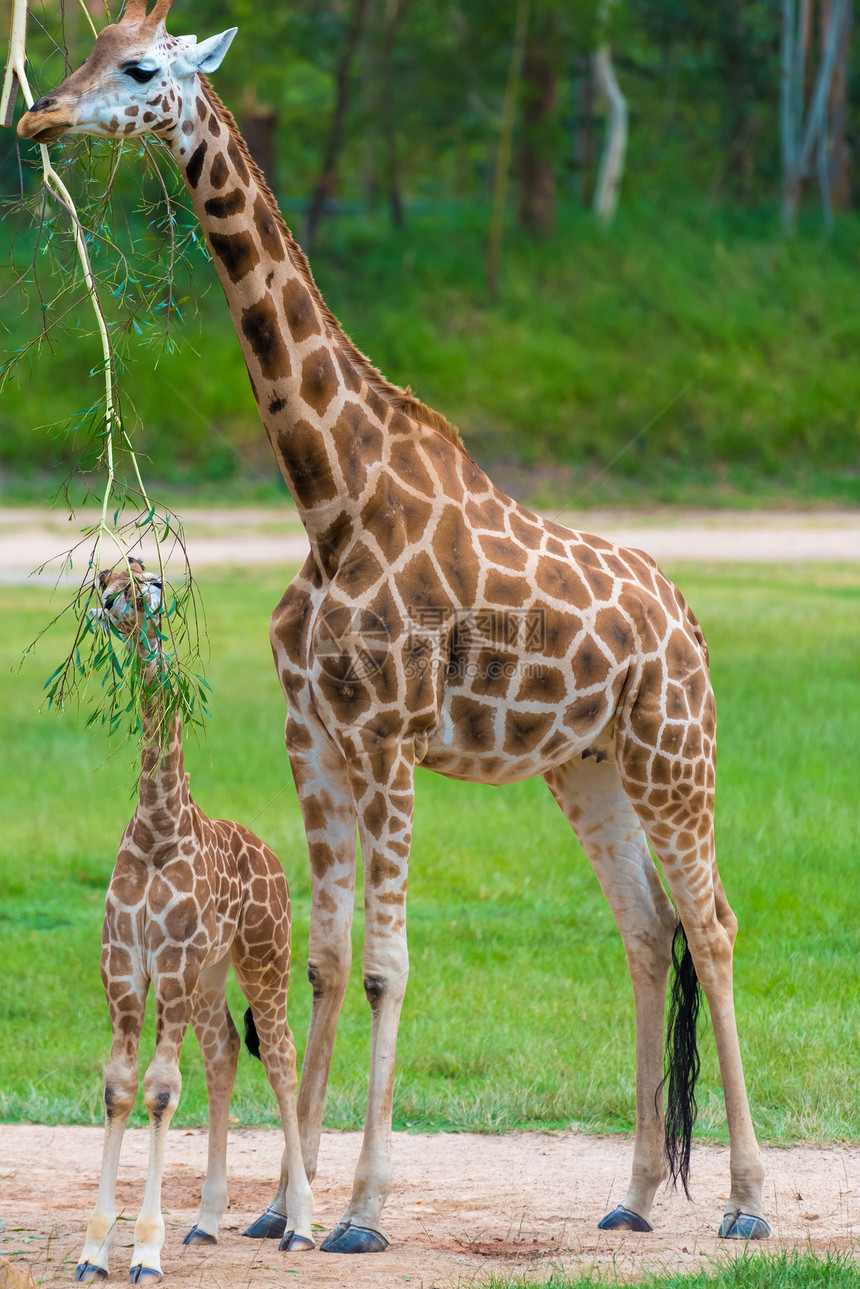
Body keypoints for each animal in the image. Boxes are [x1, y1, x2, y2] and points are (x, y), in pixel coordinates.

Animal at [75, 559, 314, 1283]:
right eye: (106, 576)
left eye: (141, 575)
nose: (119, 598)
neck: (159, 823)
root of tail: (274, 856)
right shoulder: (125, 964)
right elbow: (119, 1086)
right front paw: (95, 1249)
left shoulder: (172, 962)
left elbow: (159, 1089)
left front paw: (145, 1251)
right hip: (211, 977)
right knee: (225, 1051)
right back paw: (206, 1221)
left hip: (265, 955)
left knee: (283, 1054)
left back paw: (300, 1224)